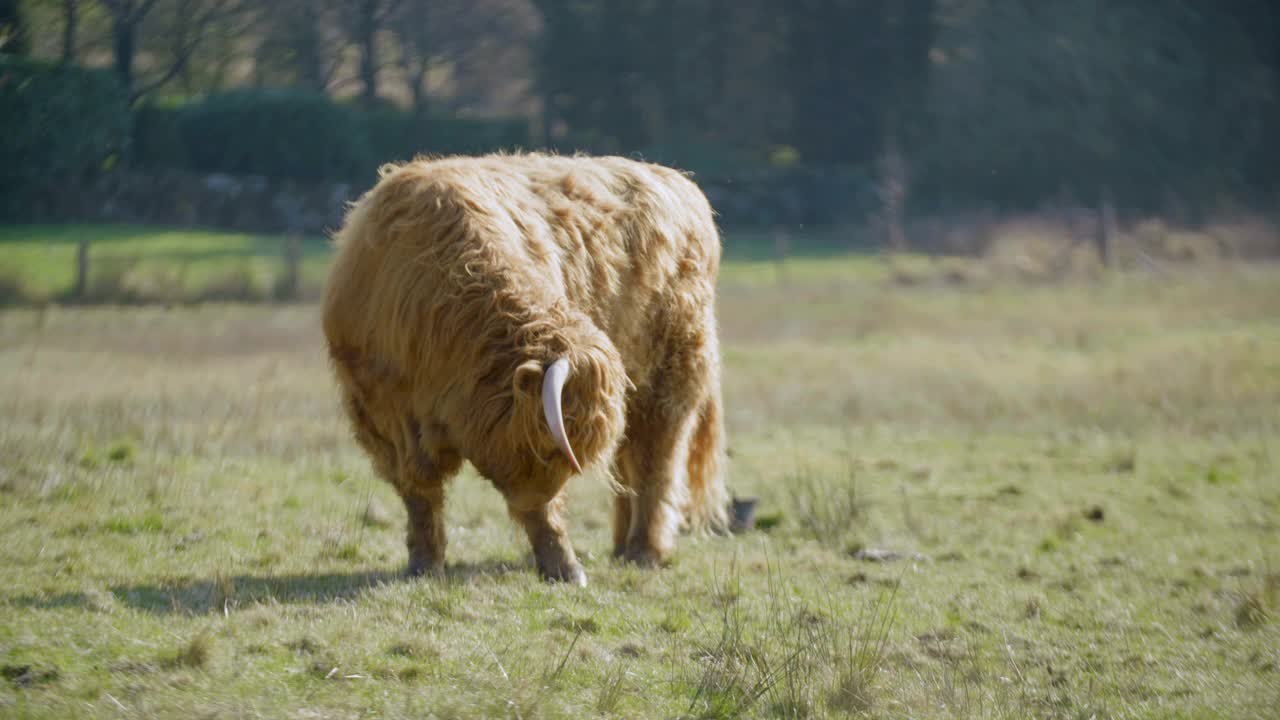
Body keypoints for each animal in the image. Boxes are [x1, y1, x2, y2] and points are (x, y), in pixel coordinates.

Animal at [325, 151, 732, 584]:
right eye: (550, 452)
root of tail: (679, 182)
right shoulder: (383, 413)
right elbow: (419, 493)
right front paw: (423, 566)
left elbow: (541, 512)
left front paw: (565, 567)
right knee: (632, 463)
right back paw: (622, 548)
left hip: (673, 377)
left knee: (657, 461)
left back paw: (643, 551)